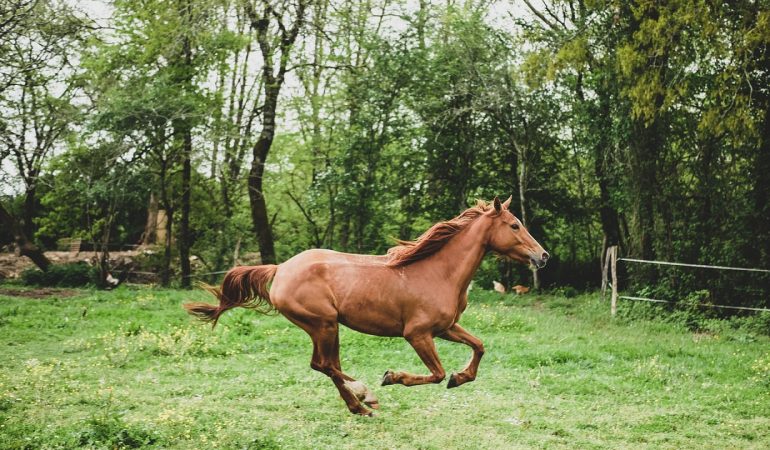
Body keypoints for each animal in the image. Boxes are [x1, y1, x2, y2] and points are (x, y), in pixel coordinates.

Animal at [184, 195, 544, 416]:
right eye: (514, 225)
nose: (543, 256)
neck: (438, 272)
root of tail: (281, 268)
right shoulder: (418, 334)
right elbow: (436, 373)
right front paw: (393, 376)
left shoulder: (446, 328)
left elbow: (479, 346)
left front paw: (461, 377)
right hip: (323, 324)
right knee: (325, 365)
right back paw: (365, 396)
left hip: (326, 328)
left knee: (324, 365)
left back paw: (359, 404)